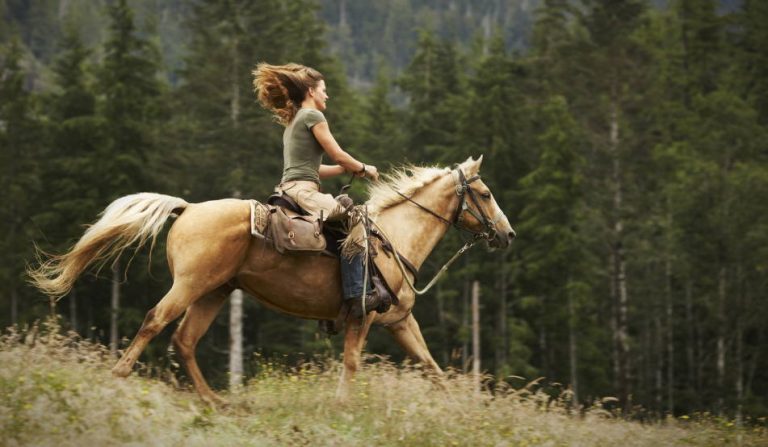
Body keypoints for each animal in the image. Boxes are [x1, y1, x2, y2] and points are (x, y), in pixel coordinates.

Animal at [30, 158, 512, 406]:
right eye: (486, 194)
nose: (507, 234)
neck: (394, 239)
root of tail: (188, 208)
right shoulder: (362, 318)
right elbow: (352, 363)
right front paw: (342, 407)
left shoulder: (399, 321)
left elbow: (431, 366)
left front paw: (461, 409)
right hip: (189, 286)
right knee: (155, 321)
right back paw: (120, 375)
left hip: (214, 292)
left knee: (184, 341)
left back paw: (216, 401)